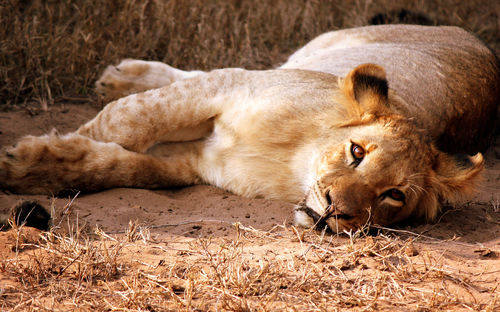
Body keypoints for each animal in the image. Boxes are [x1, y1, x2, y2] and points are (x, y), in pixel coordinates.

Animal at [0, 25, 500, 232]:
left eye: (394, 196)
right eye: (356, 151)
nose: (337, 211)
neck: (294, 161)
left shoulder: (195, 163)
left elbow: (122, 168)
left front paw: (34, 164)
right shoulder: (225, 88)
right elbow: (128, 122)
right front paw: (61, 145)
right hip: (303, 55)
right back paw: (120, 77)